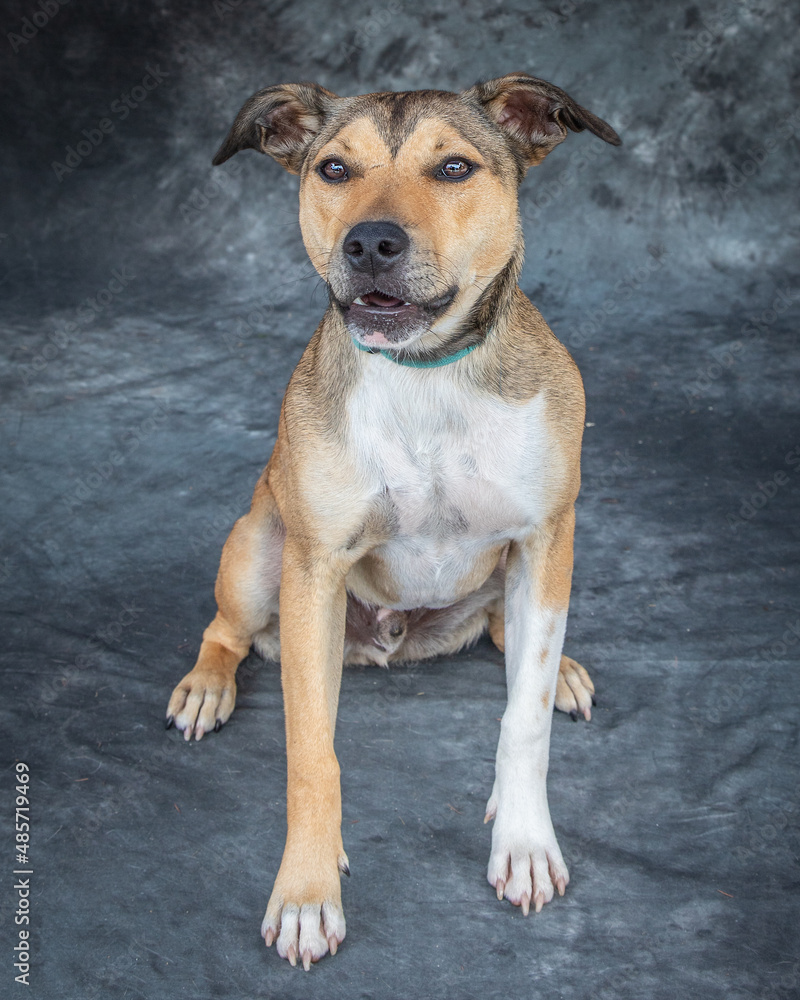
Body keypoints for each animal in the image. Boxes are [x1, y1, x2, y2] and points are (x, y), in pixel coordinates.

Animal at [166, 72, 620, 968]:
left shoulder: (547, 535)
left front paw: (523, 842)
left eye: (454, 167)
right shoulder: (315, 568)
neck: (426, 375)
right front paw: (308, 893)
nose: (371, 243)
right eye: (335, 169)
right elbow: (313, 755)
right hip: (259, 543)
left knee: (511, 635)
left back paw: (558, 670)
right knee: (225, 630)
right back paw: (206, 685)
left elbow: (520, 723)